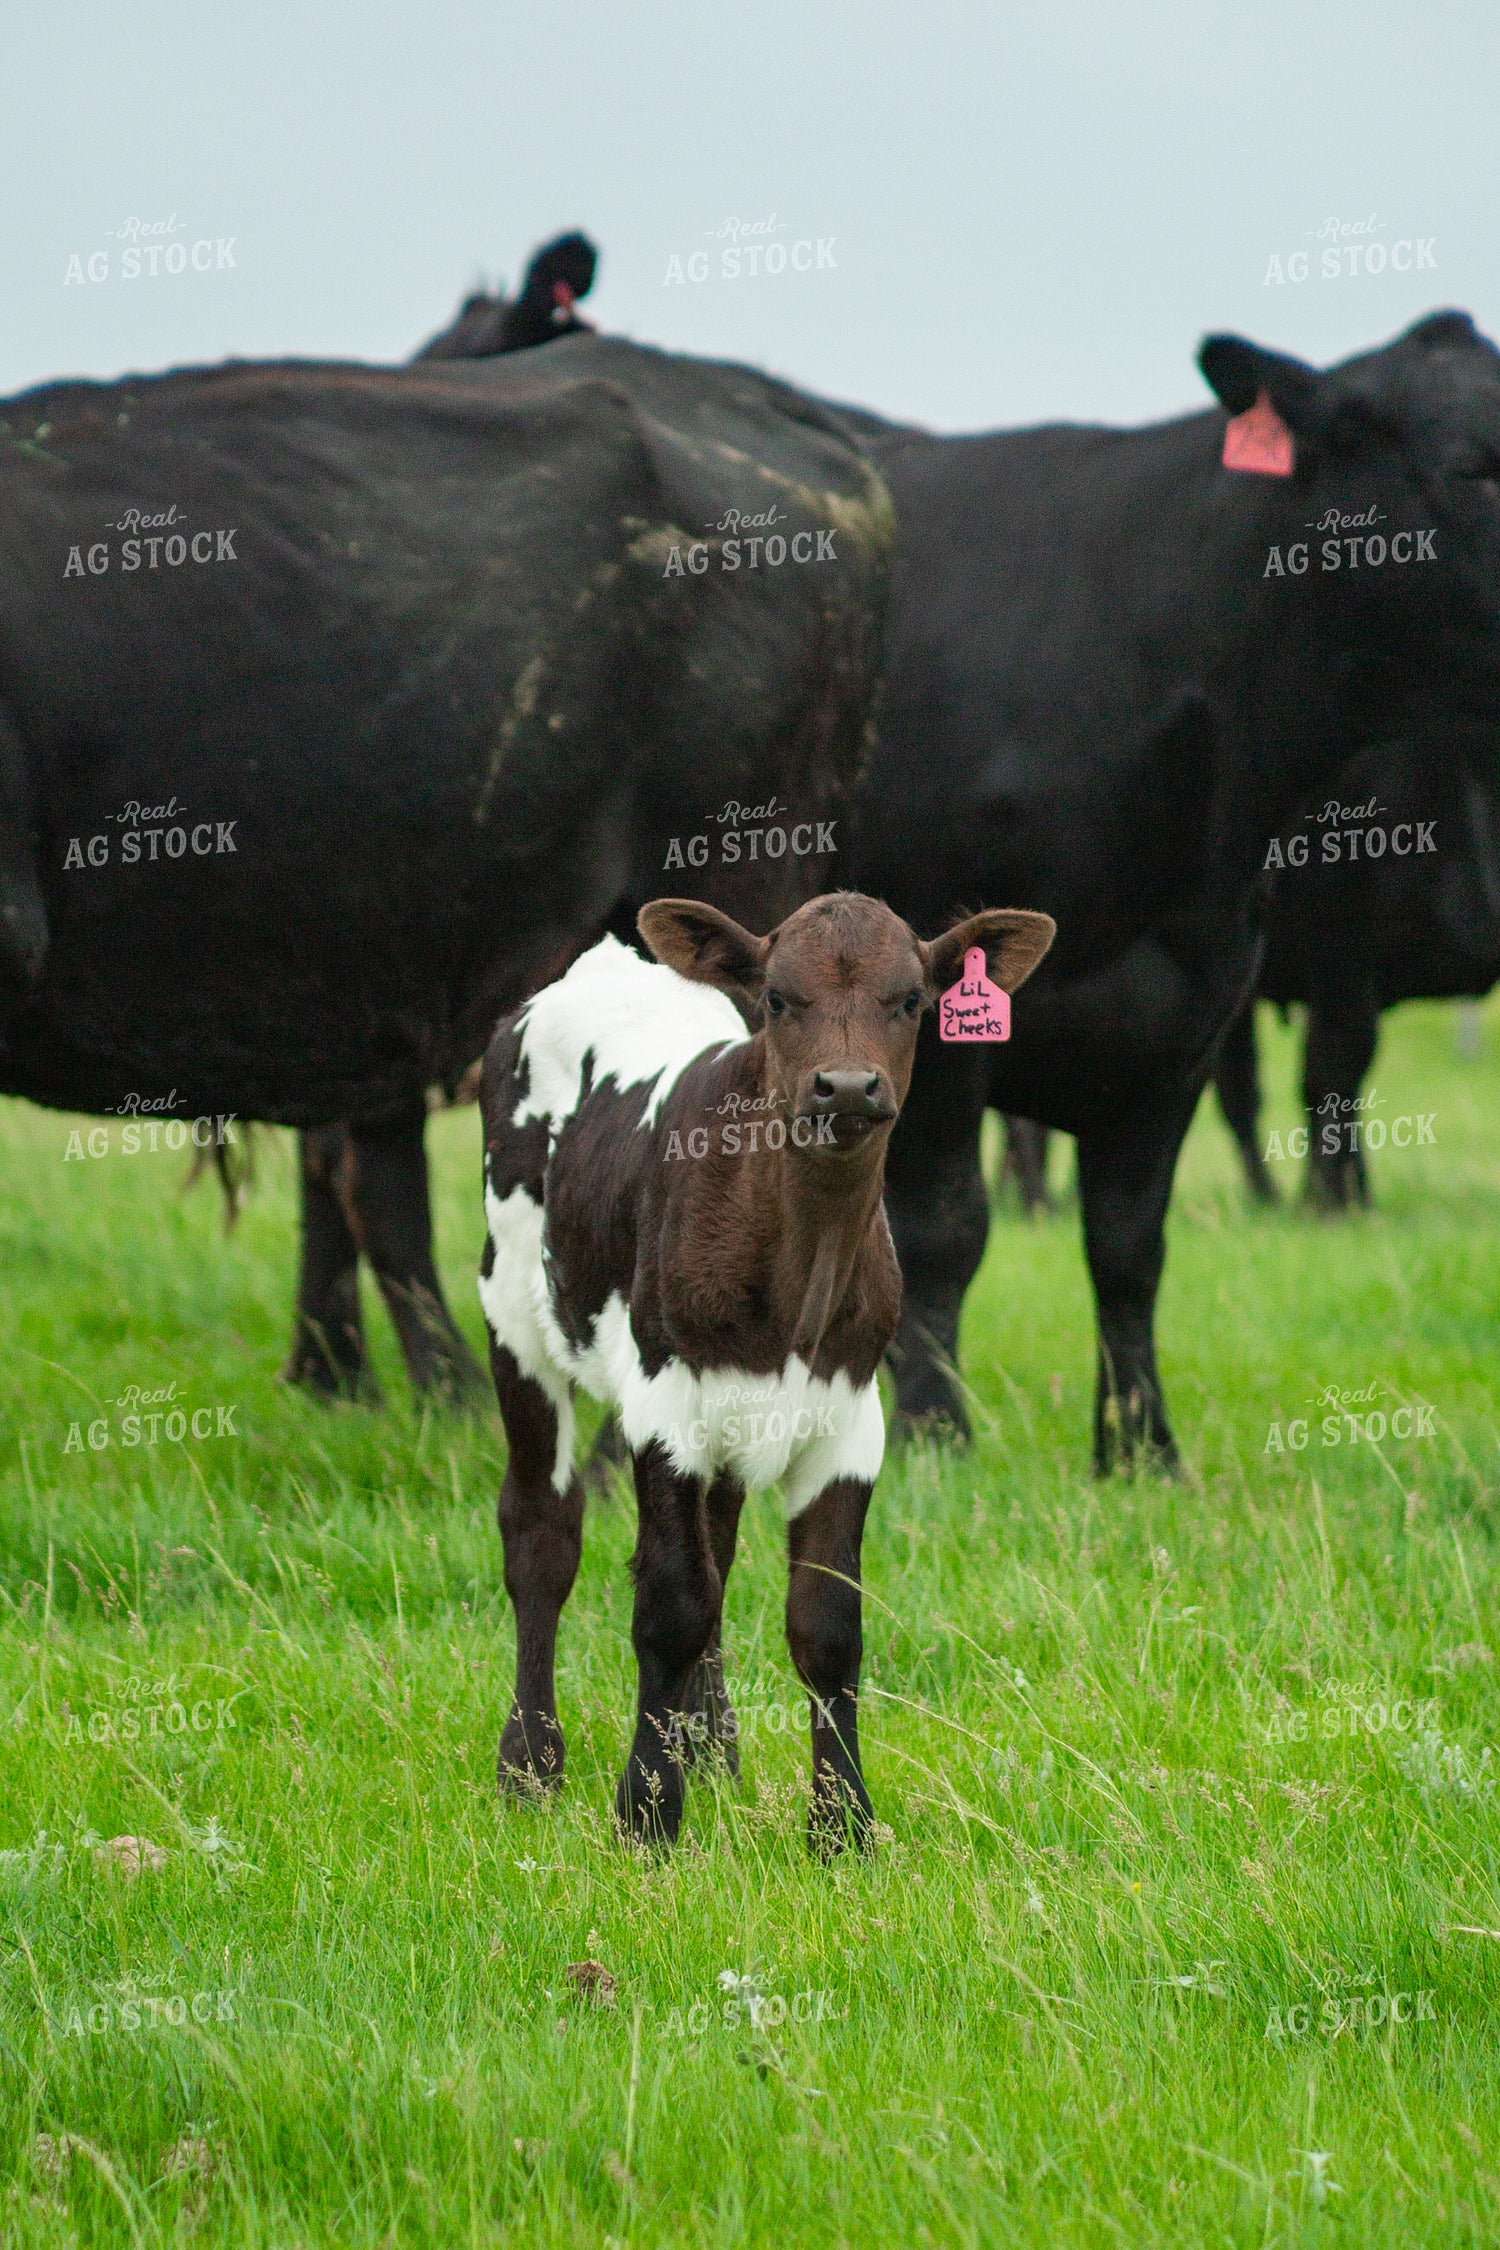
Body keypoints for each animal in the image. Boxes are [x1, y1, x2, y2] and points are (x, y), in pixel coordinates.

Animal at [477, 892, 1055, 1849]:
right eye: (780, 998)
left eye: (911, 999)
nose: (848, 1087)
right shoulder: (664, 1404)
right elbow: (671, 1605)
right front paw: (647, 1815)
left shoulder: (849, 1418)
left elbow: (824, 1624)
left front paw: (842, 1825)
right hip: (515, 1321)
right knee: (542, 1535)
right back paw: (530, 1763)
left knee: (716, 1548)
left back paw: (712, 1754)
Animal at [831, 311, 1500, 1467]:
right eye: (1472, 468)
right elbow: (946, 1226)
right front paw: (930, 1432)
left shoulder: (1194, 1006)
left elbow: (1130, 1241)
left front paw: (1144, 1449)